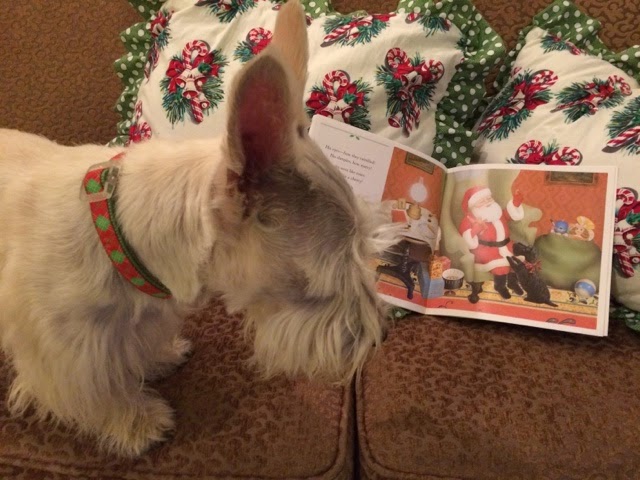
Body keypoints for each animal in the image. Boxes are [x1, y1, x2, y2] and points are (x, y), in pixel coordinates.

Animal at [0, 0, 398, 457]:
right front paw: (135, 422)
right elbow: (99, 391)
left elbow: (135, 345)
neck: (121, 240)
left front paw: (157, 357)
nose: (382, 337)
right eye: (334, 272)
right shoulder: (66, 352)